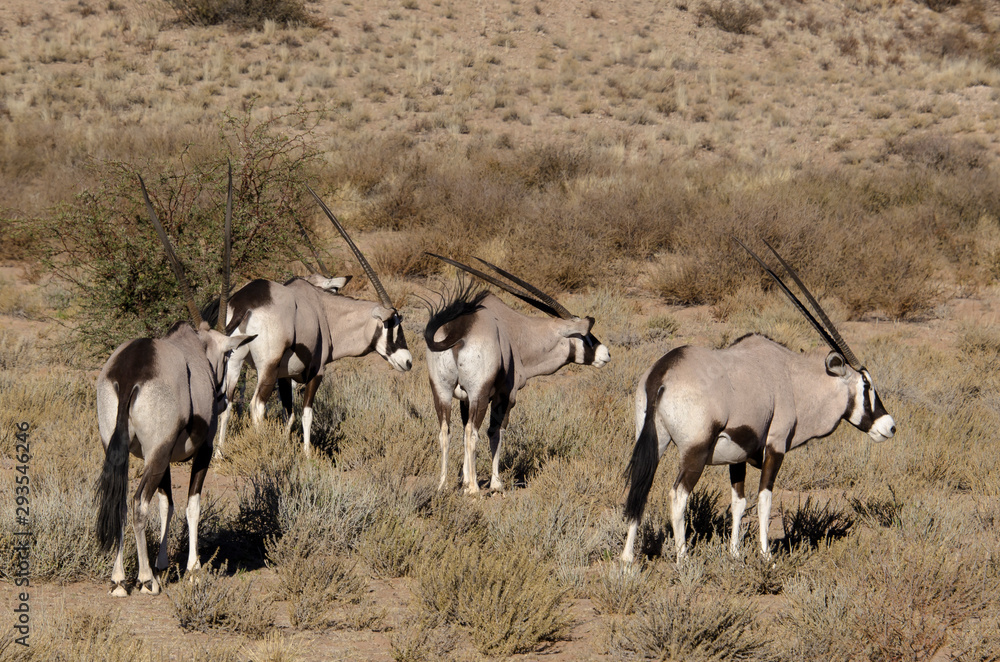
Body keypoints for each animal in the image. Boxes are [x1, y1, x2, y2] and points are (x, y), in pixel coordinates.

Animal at [95, 169, 254, 596]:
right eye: (227, 355)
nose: (221, 399)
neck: (194, 348)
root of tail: (130, 373)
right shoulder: (198, 450)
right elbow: (190, 503)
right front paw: (193, 566)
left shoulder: (164, 456)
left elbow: (167, 503)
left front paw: (165, 561)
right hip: (155, 452)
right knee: (137, 502)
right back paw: (144, 580)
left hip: (124, 447)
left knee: (120, 499)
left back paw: (119, 579)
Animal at [215, 187, 412, 458]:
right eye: (391, 324)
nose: (408, 361)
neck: (325, 312)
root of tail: (246, 303)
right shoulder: (316, 372)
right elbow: (306, 415)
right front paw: (307, 456)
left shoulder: (285, 375)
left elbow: (289, 415)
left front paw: (287, 446)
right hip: (267, 366)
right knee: (257, 406)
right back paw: (263, 451)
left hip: (235, 362)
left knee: (228, 401)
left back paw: (219, 454)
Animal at [424, 255, 611, 494]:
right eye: (585, 336)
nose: (606, 354)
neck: (517, 332)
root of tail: (460, 327)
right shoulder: (506, 395)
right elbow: (496, 432)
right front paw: (495, 484)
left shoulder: (464, 399)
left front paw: (465, 481)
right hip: (479, 394)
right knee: (472, 433)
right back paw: (475, 491)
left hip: (442, 392)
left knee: (446, 431)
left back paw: (443, 486)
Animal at [621, 239, 896, 564]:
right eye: (866, 385)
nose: (889, 426)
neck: (793, 379)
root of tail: (662, 372)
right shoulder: (776, 446)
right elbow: (765, 499)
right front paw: (767, 557)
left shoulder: (736, 455)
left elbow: (739, 502)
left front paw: (735, 553)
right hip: (694, 452)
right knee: (677, 495)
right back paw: (684, 559)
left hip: (655, 442)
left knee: (640, 487)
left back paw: (627, 561)